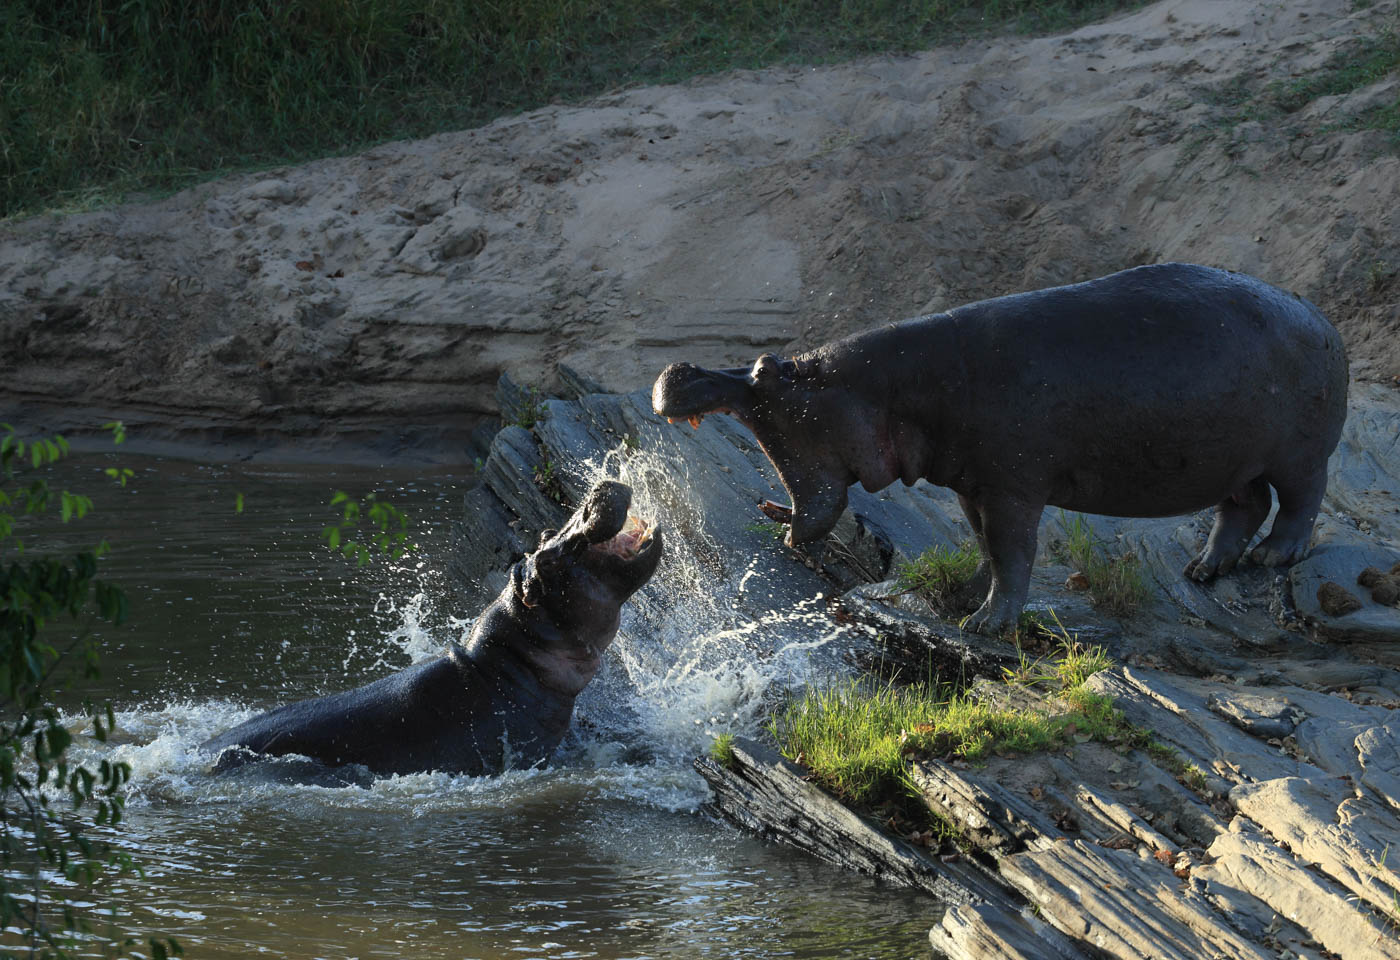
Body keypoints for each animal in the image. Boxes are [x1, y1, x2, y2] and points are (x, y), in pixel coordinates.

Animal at [649, 264, 1349, 638]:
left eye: (768, 369)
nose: (681, 371)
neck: (890, 388)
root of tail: (1319, 315)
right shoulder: (973, 484)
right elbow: (984, 545)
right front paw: (966, 600)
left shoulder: (1013, 488)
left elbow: (1013, 551)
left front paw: (985, 627)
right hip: (1232, 460)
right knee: (1244, 504)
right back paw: (1203, 570)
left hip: (1299, 454)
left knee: (1301, 501)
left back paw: (1273, 559)